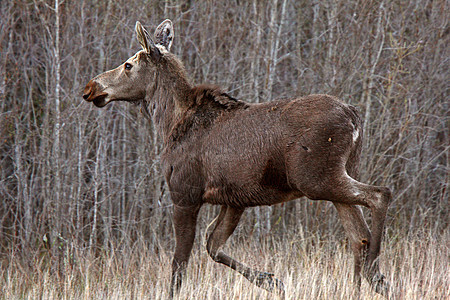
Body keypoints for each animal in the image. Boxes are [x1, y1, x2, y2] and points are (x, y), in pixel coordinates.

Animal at [82, 19, 392, 298]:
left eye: (128, 65)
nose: (90, 87)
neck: (169, 124)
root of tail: (354, 117)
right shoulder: (235, 199)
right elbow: (212, 245)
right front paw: (271, 280)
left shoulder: (184, 194)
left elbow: (179, 266)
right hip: (337, 174)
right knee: (359, 235)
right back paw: (364, 284)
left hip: (316, 179)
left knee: (380, 195)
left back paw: (376, 272)